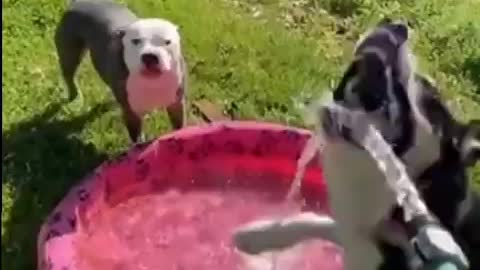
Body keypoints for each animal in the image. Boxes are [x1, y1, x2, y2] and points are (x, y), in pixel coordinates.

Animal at [54, 0, 186, 142]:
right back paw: (75, 95)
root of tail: (79, 3)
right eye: (135, 41)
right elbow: (137, 138)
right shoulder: (131, 113)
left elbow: (179, 126)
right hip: (71, 54)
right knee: (69, 76)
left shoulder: (176, 104)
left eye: (167, 42)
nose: (149, 56)